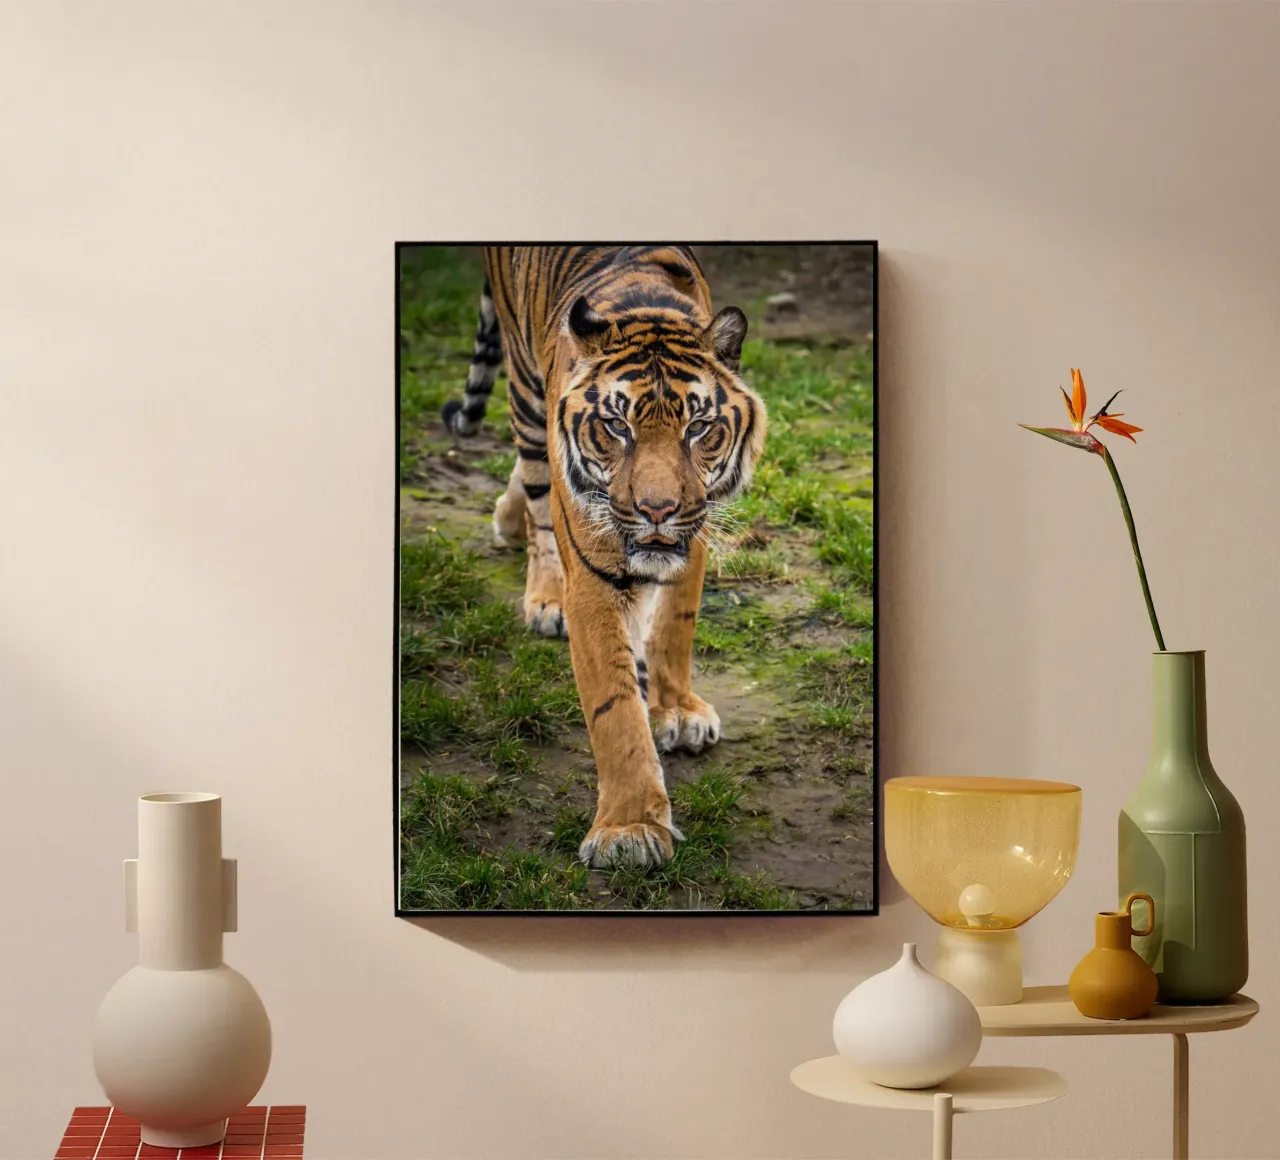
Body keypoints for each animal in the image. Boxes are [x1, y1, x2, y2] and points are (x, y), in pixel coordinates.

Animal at [442, 246, 766, 869]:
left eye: (699, 428)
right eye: (618, 426)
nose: (658, 509)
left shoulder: (694, 534)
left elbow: (674, 628)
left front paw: (676, 710)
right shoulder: (592, 577)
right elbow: (615, 710)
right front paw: (630, 829)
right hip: (525, 398)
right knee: (540, 506)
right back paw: (541, 590)